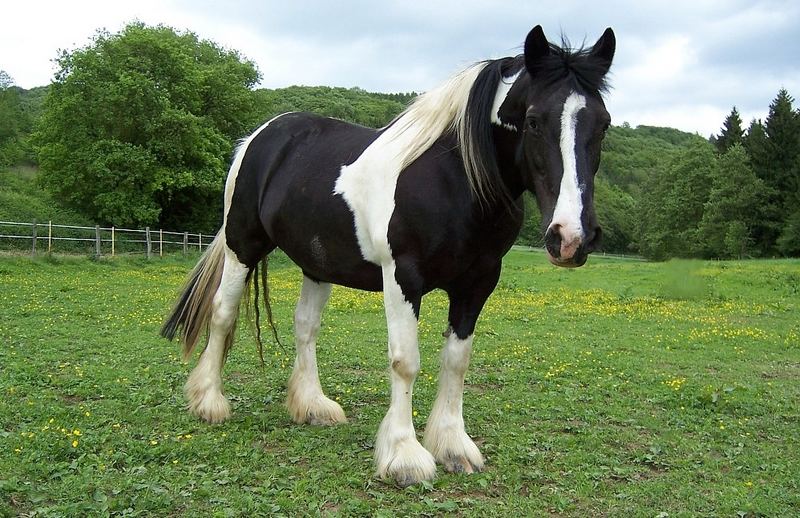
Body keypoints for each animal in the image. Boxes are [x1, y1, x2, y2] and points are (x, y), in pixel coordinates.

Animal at [159, 24, 616, 488]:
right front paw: (404, 456)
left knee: (305, 327)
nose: (572, 237)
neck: (456, 178)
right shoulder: (403, 277)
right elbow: (405, 362)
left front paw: (452, 446)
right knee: (222, 312)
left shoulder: (478, 282)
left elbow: (457, 361)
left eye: (604, 124)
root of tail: (260, 136)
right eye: (535, 121)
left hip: (315, 264)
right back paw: (209, 401)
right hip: (243, 245)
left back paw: (312, 406)